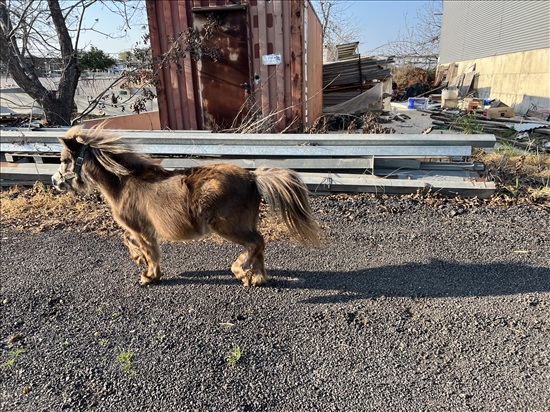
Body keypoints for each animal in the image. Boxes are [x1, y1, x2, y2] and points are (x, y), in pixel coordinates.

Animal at [52, 128, 324, 286]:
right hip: (245, 224)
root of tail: (252, 176)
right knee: (258, 247)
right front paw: (138, 259)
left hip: (229, 226)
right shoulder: (138, 229)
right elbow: (127, 239)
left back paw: (240, 272)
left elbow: (149, 251)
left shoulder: (142, 229)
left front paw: (149, 275)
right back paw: (256, 277)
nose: (55, 182)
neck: (124, 183)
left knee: (256, 242)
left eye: (65, 160)